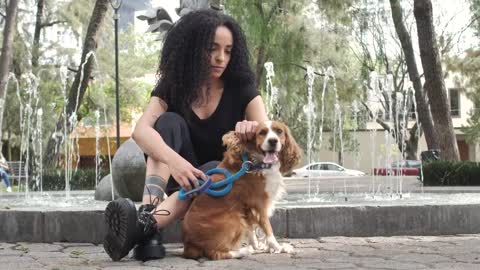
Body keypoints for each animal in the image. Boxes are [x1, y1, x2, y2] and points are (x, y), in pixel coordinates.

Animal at [182, 120, 302, 260]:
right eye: (262, 133)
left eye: (279, 131)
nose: (273, 141)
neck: (256, 162)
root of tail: (189, 245)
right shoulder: (259, 203)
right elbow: (267, 228)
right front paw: (278, 247)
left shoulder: (247, 207)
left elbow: (252, 231)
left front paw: (260, 247)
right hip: (234, 218)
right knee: (216, 253)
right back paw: (244, 251)